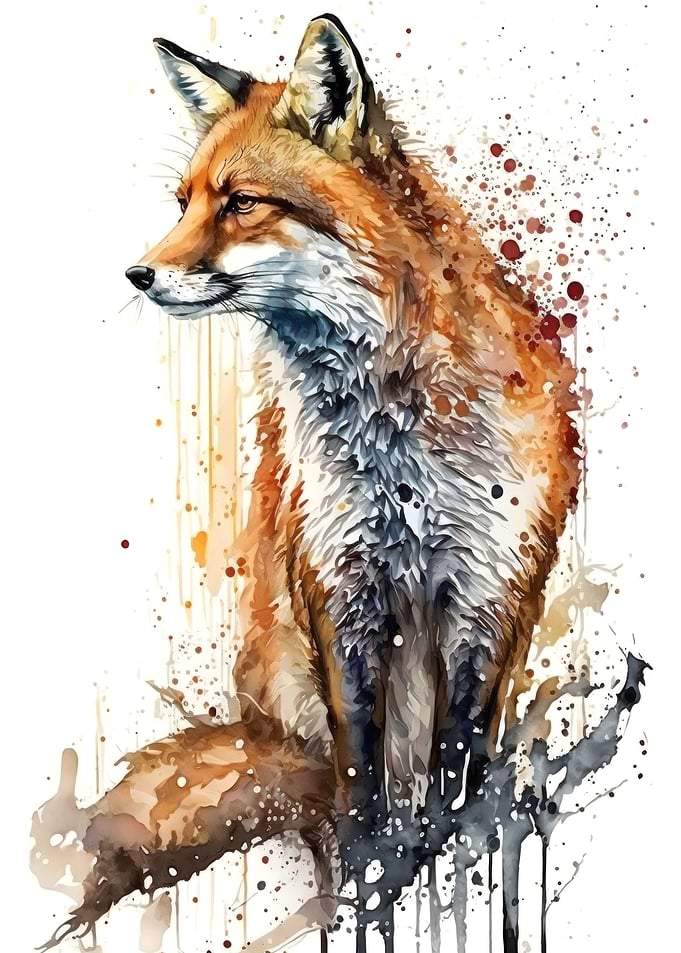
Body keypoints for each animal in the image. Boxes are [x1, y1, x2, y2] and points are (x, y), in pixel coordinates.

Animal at [37, 13, 580, 953]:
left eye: (241, 202)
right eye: (182, 202)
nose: (137, 274)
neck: (396, 449)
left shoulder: (488, 596)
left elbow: (463, 780)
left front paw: (450, 871)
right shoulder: (341, 589)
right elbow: (361, 787)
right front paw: (371, 881)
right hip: (286, 687)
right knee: (313, 790)